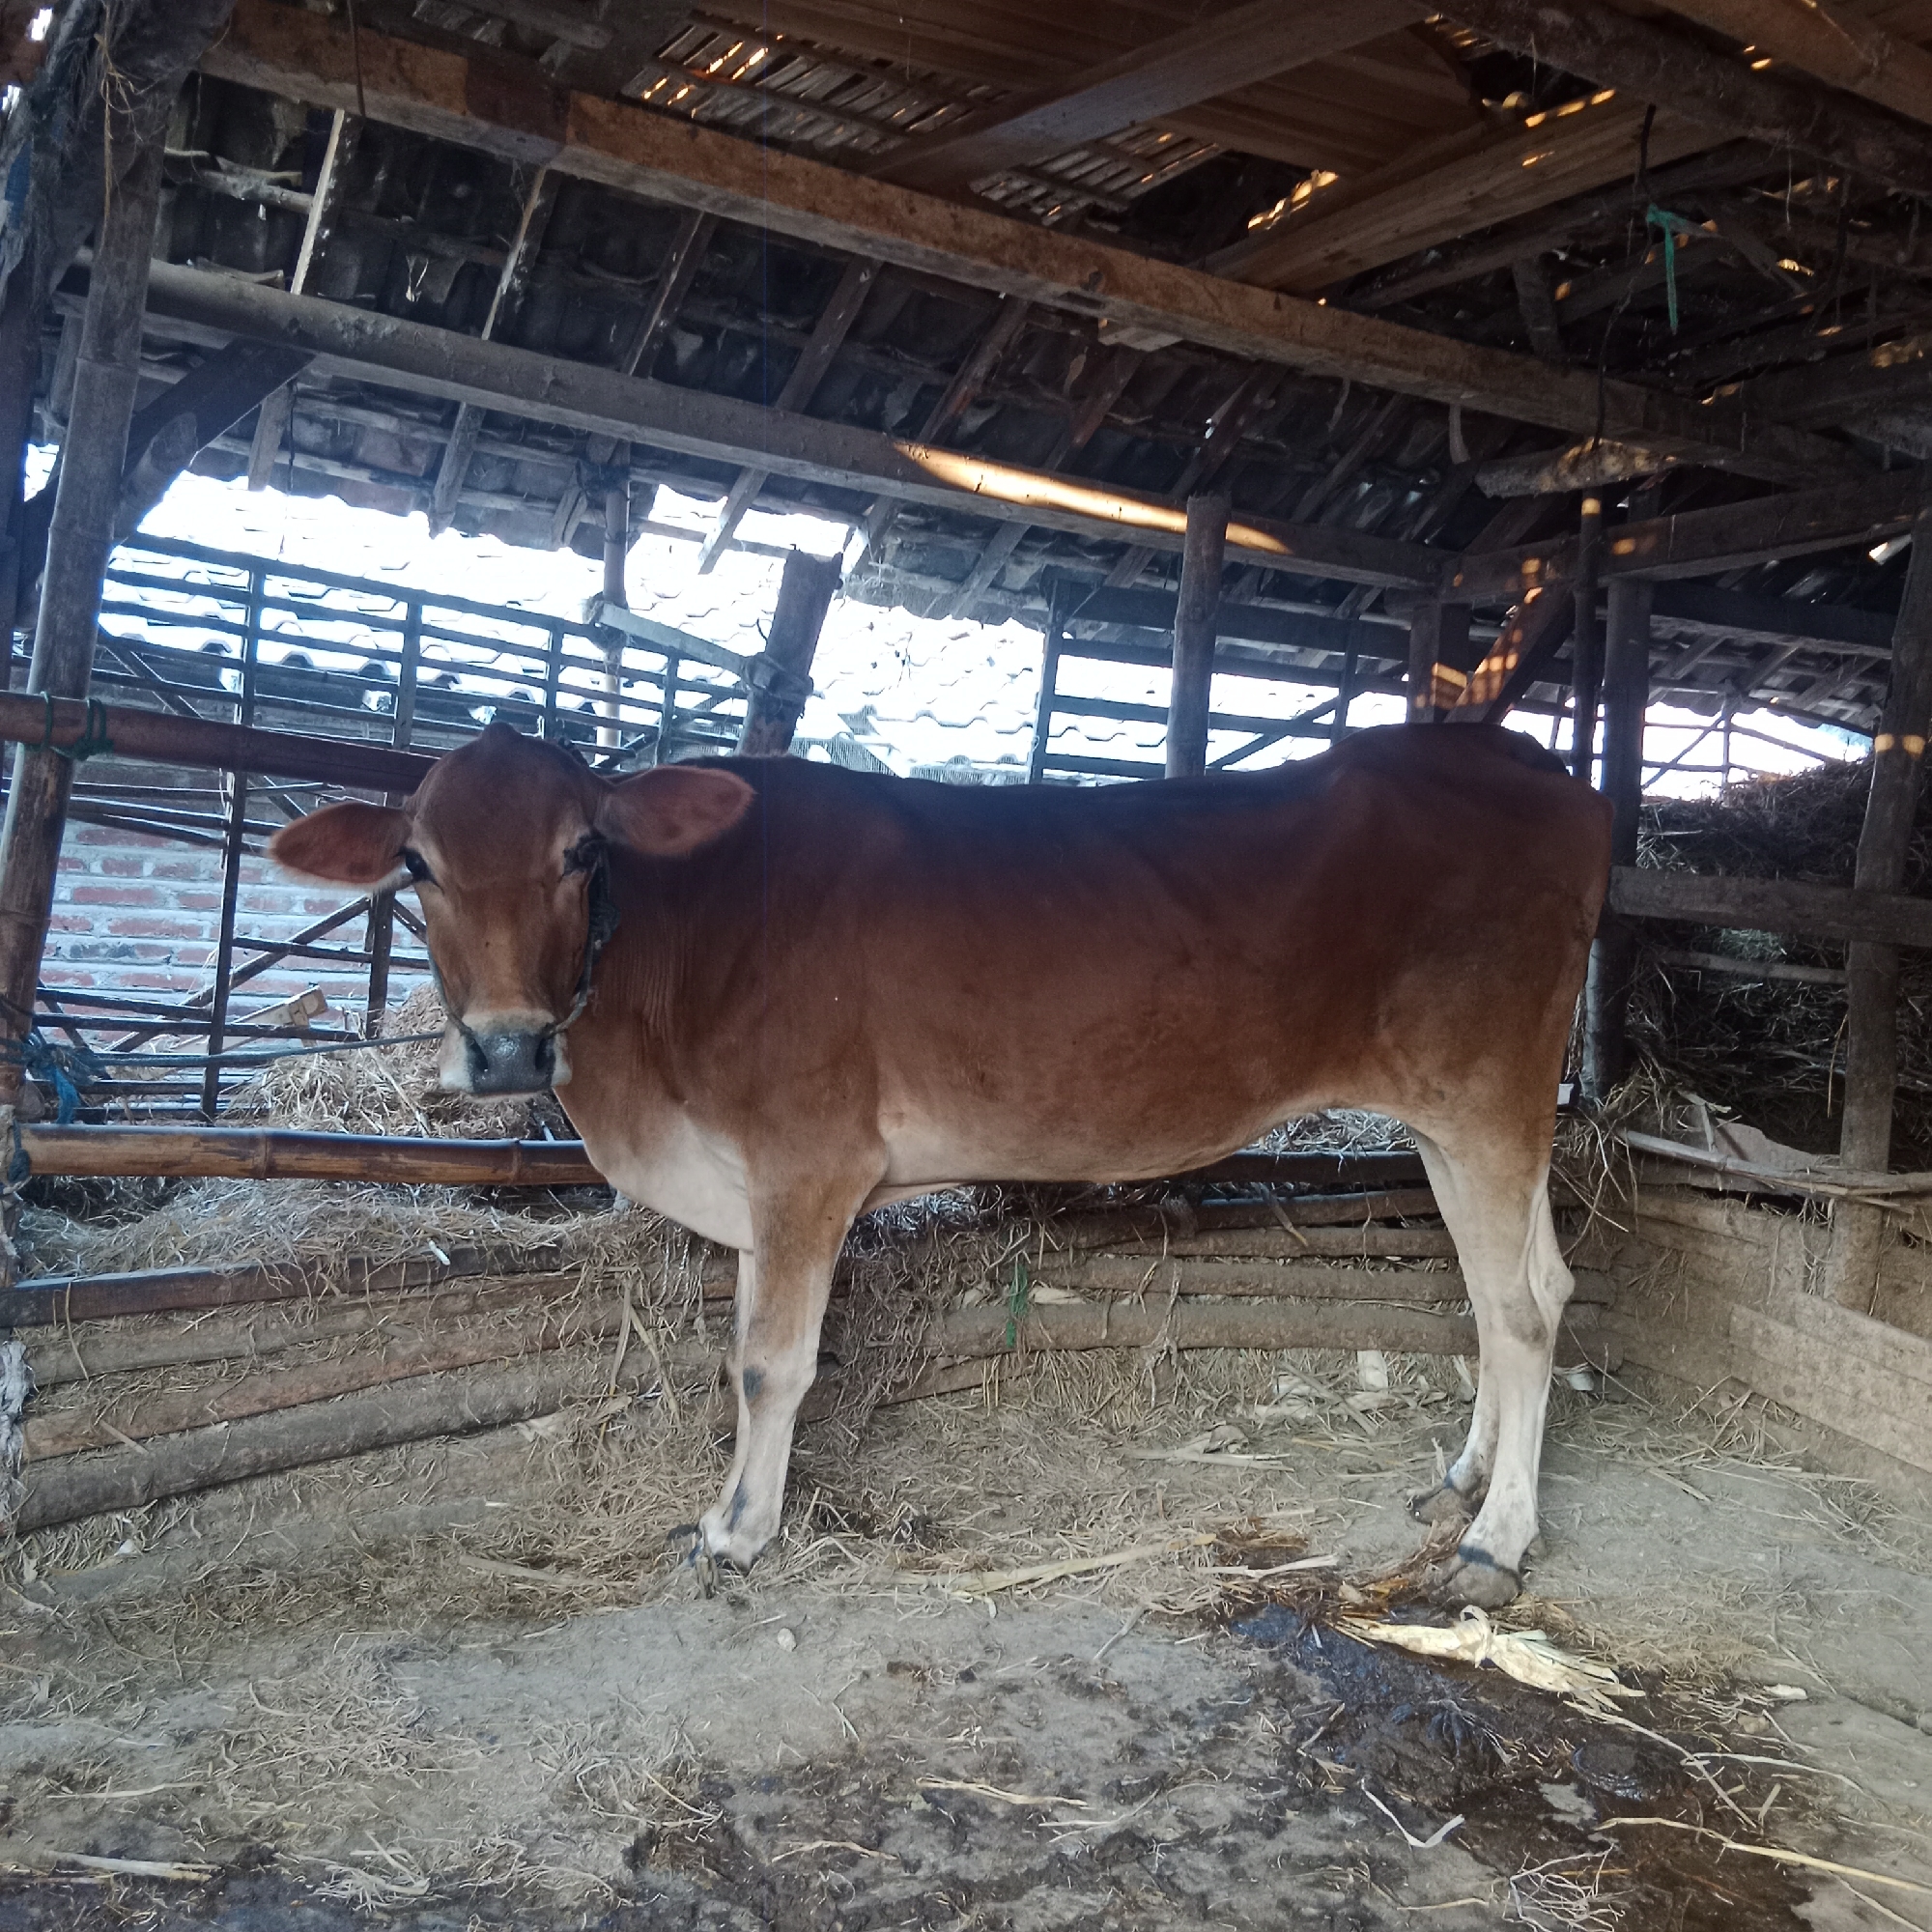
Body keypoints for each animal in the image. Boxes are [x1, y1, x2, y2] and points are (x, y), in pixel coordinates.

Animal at [270, 719, 1612, 1606]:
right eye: (416, 863)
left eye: (582, 852)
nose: (507, 1043)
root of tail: (1539, 769)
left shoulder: (804, 1162)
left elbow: (767, 1364)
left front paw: (736, 1530)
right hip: (1443, 1123)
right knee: (1516, 1289)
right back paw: (1462, 1478)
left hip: (1489, 1098)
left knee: (1518, 1306)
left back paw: (1497, 1539)